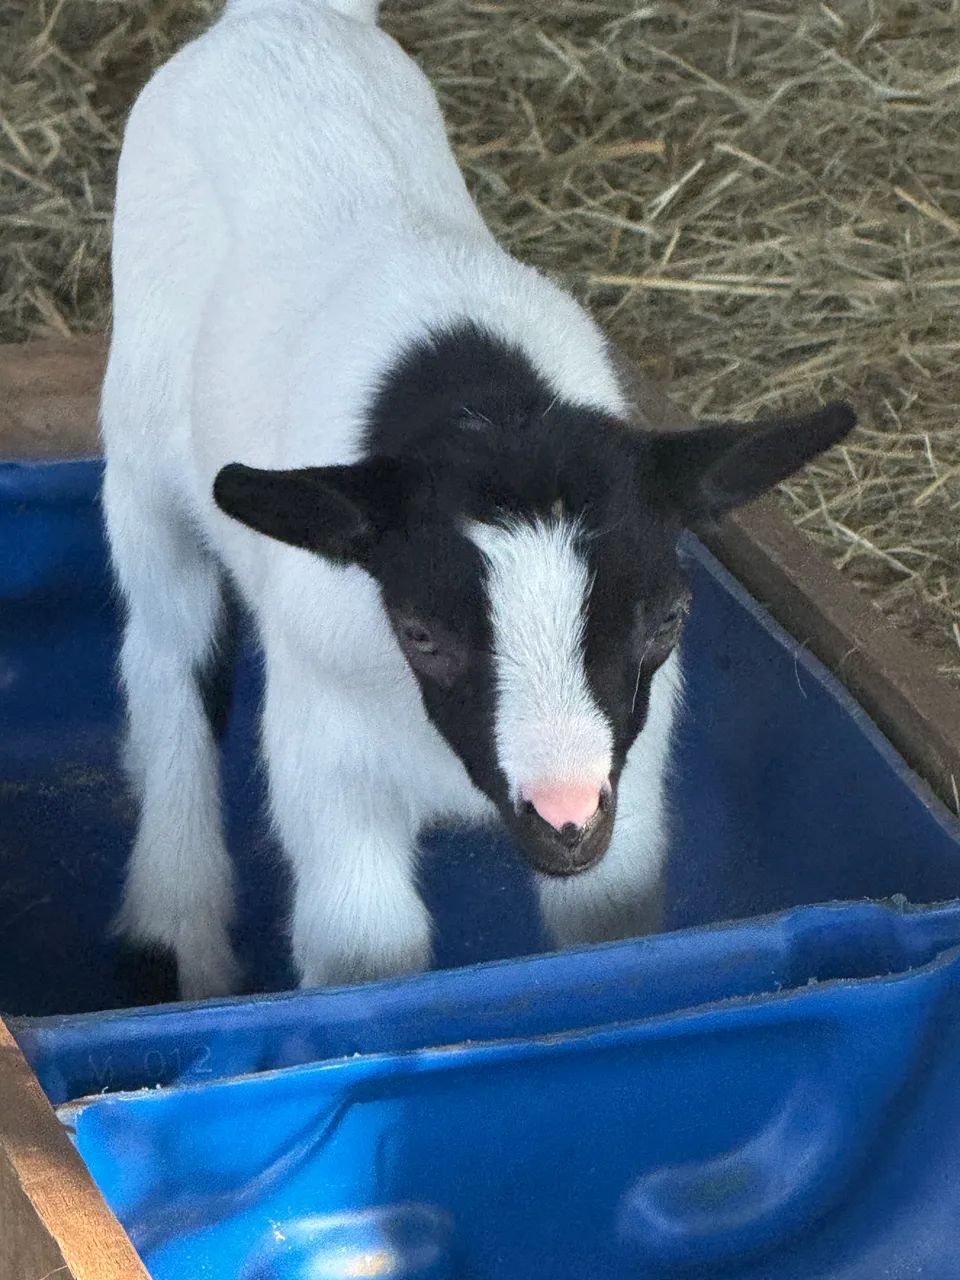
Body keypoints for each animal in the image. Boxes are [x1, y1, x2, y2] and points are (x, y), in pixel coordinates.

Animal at [101, 0, 855, 1000]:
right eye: (420, 632)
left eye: (667, 619)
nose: (564, 813)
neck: (486, 408)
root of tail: (277, 21)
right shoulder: (328, 757)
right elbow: (368, 956)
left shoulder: (631, 768)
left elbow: (611, 927)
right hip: (140, 441)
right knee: (169, 647)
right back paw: (177, 930)